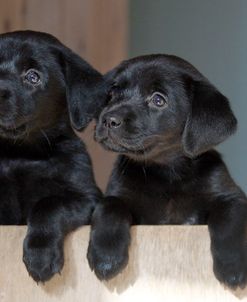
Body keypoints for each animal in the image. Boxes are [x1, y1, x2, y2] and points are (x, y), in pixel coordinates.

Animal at [87, 54, 247, 288]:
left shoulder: (231, 196)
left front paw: (233, 265)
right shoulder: (118, 194)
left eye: (158, 100)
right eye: (113, 93)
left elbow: (228, 220)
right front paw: (106, 256)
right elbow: (109, 206)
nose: (108, 119)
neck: (167, 174)